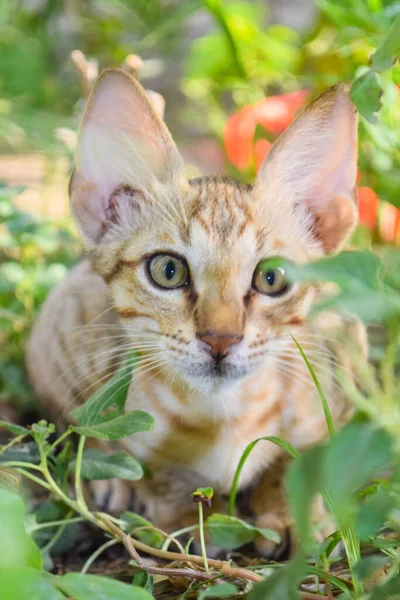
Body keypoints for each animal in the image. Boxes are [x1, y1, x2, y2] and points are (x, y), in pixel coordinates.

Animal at [27, 71, 366, 556]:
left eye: (272, 278)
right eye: (168, 271)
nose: (220, 339)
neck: (225, 414)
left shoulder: (337, 380)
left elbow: (297, 460)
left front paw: (289, 513)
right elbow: (158, 472)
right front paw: (186, 519)